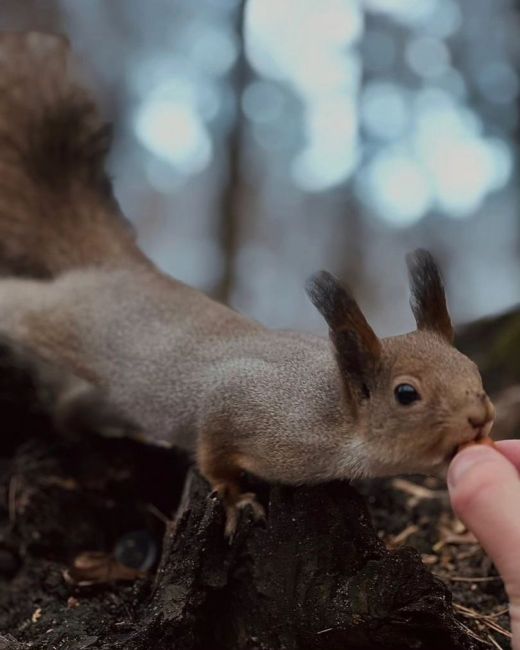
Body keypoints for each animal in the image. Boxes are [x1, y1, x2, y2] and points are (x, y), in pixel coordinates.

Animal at [0, 33, 496, 536]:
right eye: (406, 394)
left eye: (472, 370)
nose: (480, 418)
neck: (331, 413)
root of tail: (116, 267)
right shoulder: (236, 403)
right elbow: (212, 452)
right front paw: (236, 497)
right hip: (59, 318)